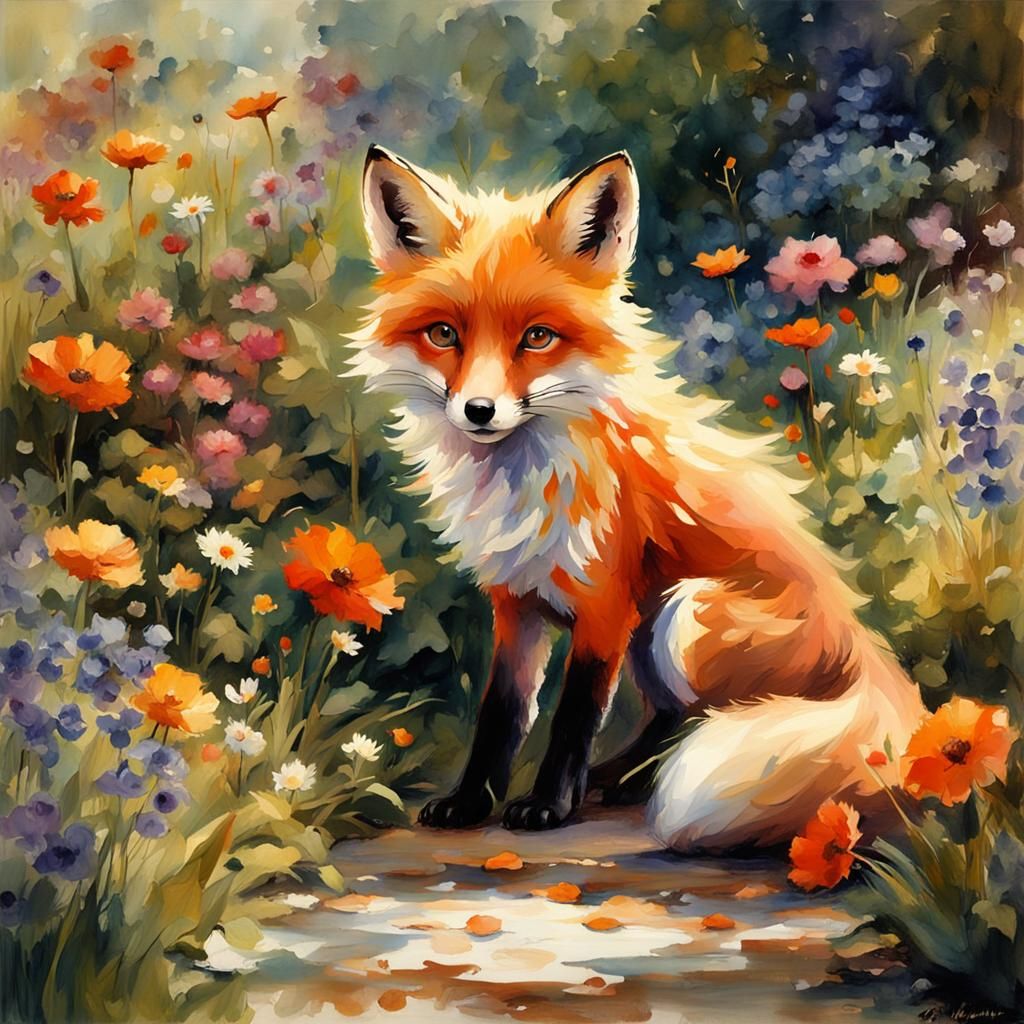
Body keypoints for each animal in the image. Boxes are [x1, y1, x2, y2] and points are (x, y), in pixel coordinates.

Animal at [349, 144, 928, 852]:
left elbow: (572, 716)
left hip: (685, 613)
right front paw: (469, 801)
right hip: (658, 632)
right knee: (670, 717)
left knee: (714, 716)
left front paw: (547, 806)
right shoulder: (515, 603)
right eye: (443, 335)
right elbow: (501, 713)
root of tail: (869, 656)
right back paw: (622, 777)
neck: (527, 479)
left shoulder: (606, 602)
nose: (478, 411)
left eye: (537, 338)